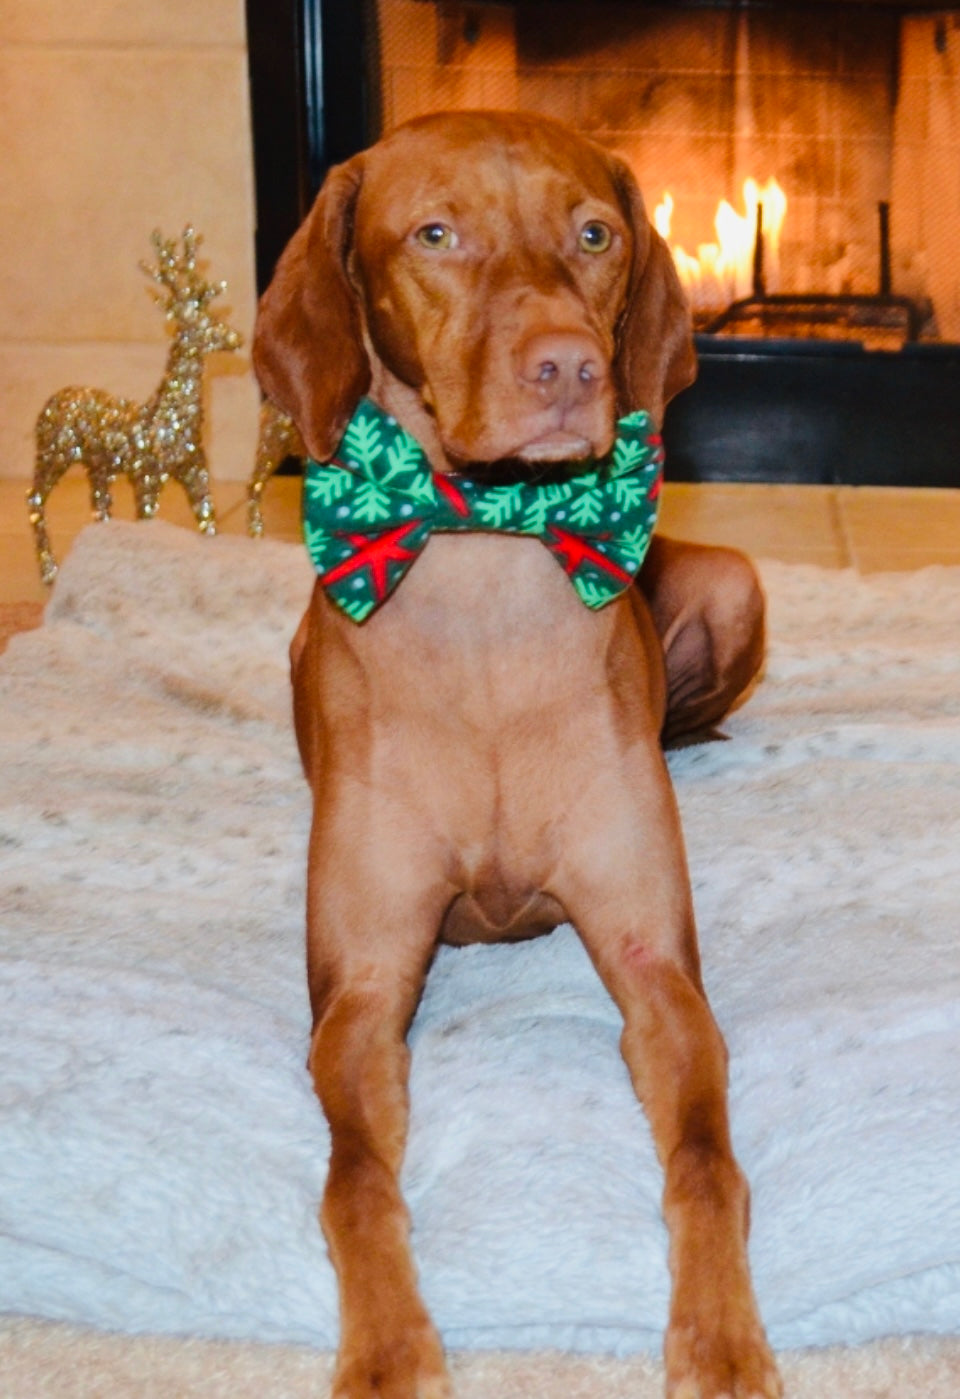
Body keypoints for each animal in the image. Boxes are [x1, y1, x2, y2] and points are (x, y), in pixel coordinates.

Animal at [251, 109, 778, 1399]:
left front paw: (722, 1337)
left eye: (594, 235)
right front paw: (387, 1351)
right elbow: (353, 1183)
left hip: (735, 590)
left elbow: (708, 1163)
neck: (488, 570)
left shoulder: (656, 972)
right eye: (435, 235)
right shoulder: (362, 994)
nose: (570, 368)